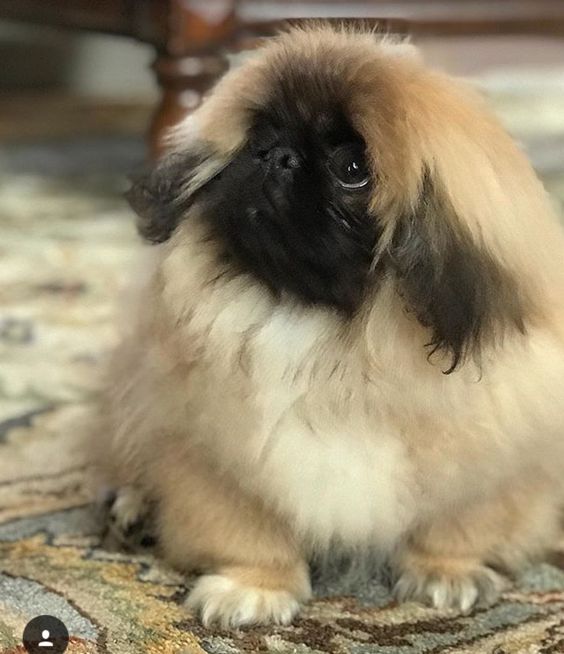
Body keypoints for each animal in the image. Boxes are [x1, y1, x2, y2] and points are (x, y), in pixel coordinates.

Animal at [92, 25, 564, 632]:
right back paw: (129, 505)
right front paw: (255, 587)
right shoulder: (210, 452)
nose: (277, 155)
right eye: (259, 135)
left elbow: (461, 522)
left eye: (352, 169)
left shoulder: (494, 460)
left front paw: (446, 572)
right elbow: (245, 529)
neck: (325, 339)